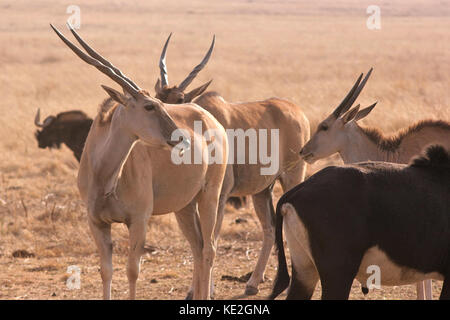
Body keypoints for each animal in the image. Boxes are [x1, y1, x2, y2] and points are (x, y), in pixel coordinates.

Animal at [51, 24, 230, 300]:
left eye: (159, 104)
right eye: (149, 106)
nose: (180, 138)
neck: (105, 176)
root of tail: (212, 120)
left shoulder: (138, 221)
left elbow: (132, 271)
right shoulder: (97, 223)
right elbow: (106, 271)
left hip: (210, 194)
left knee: (209, 247)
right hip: (184, 206)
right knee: (198, 247)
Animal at [153, 33, 312, 296]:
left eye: (180, 100)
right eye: (157, 100)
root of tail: (298, 112)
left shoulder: (221, 194)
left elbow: (211, 238)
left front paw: (206, 289)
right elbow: (198, 241)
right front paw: (194, 289)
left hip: (292, 176)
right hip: (261, 191)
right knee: (269, 228)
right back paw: (252, 283)